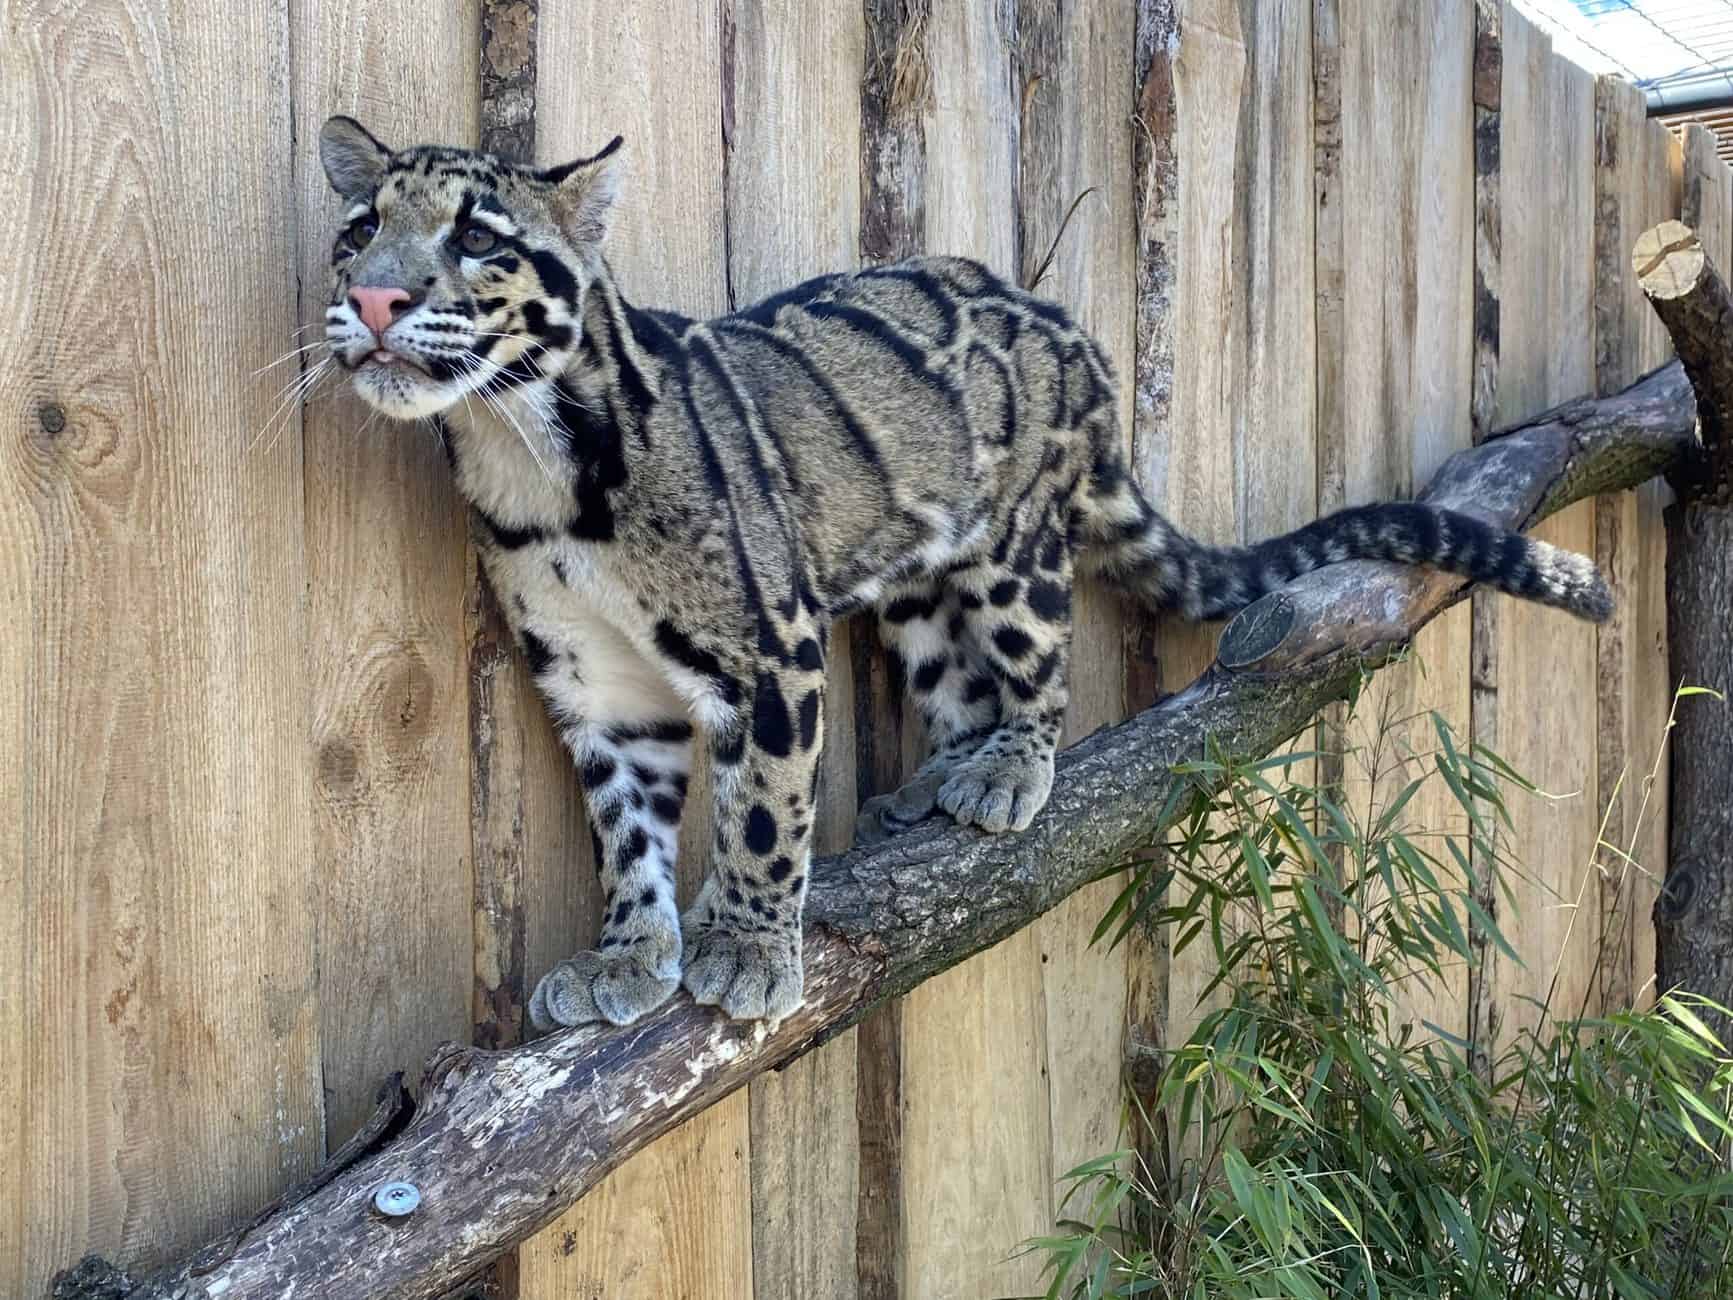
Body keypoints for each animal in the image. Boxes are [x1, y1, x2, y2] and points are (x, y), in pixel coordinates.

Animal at [311, 117, 1608, 1033]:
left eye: (479, 237)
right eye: (358, 226)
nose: (373, 295)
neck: (523, 454)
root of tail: (1071, 331)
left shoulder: (770, 651)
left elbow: (762, 811)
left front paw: (747, 948)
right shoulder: (597, 686)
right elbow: (626, 833)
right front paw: (632, 952)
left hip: (1013, 555)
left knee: (1040, 673)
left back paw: (1008, 774)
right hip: (912, 590)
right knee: (952, 683)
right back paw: (940, 775)